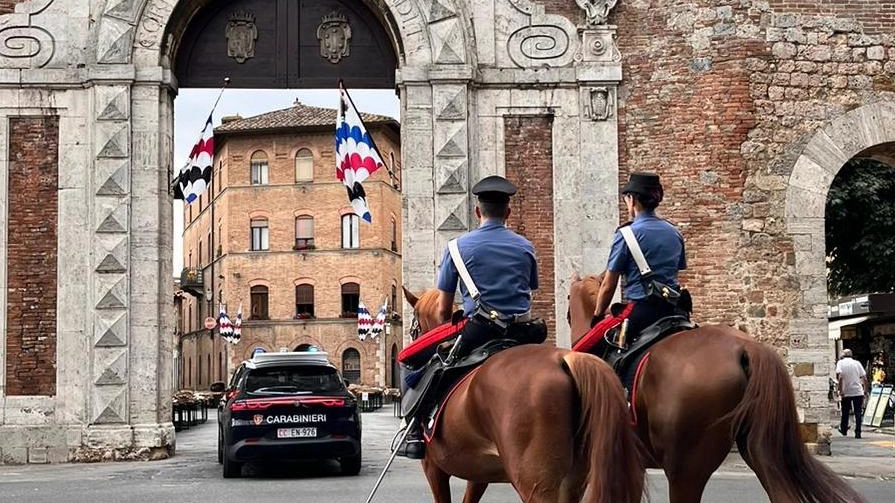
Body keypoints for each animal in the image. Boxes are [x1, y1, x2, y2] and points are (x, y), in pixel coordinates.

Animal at [404, 288, 644, 503]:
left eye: (414, 328)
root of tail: (563, 358)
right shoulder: (479, 473)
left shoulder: (433, 468)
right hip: (572, 480)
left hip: (534, 483)